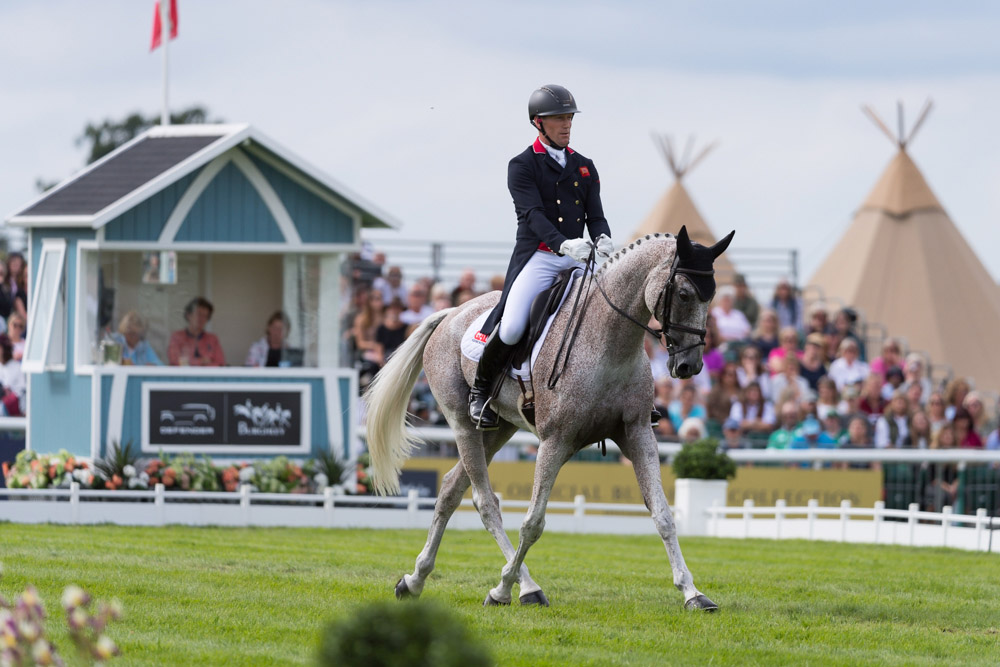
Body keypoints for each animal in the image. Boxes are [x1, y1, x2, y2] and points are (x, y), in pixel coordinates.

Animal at [364, 225, 734, 611]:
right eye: (684, 294)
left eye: (711, 297)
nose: (690, 366)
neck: (608, 343)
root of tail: (451, 313)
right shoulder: (555, 442)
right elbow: (533, 522)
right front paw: (501, 589)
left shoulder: (637, 433)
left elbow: (662, 514)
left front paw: (693, 593)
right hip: (463, 423)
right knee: (485, 502)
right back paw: (522, 586)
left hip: (498, 429)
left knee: (451, 489)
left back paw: (415, 579)